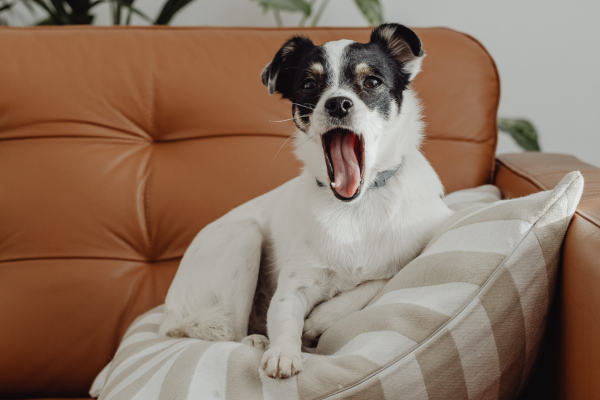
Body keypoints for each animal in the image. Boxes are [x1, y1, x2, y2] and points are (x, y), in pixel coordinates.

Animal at [157, 23, 452, 380]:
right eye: (309, 85)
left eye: (372, 82)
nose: (338, 103)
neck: (355, 206)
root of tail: (166, 319)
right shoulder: (292, 289)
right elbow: (285, 320)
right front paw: (283, 352)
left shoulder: (407, 258)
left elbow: (376, 283)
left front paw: (319, 319)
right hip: (245, 236)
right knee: (230, 332)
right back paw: (256, 340)